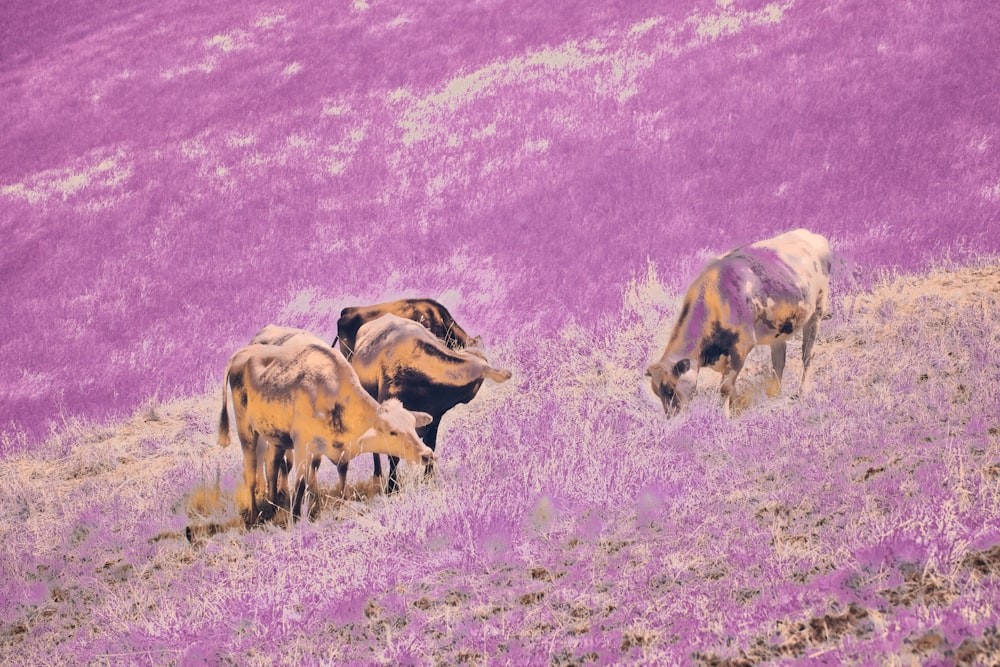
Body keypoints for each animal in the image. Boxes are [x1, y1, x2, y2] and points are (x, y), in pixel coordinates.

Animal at [217, 342, 436, 524]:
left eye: (413, 425)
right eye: (392, 432)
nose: (427, 454)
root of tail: (245, 351)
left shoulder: (331, 448)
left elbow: (334, 474)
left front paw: (330, 505)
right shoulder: (302, 443)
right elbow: (301, 482)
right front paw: (295, 518)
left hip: (273, 434)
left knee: (272, 466)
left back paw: (273, 505)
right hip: (246, 430)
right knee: (251, 472)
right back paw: (254, 515)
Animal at [348, 316, 512, 494]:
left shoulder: (434, 419)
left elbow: (430, 446)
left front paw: (428, 480)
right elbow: (393, 453)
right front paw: (392, 487)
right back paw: (378, 476)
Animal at [644, 230, 832, 418]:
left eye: (670, 390)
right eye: (657, 392)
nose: (671, 417)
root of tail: (810, 235)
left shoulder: (741, 345)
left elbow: (725, 387)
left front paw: (724, 417)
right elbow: (730, 385)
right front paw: (734, 410)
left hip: (817, 312)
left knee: (807, 355)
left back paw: (802, 391)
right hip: (778, 329)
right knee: (778, 360)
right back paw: (775, 394)